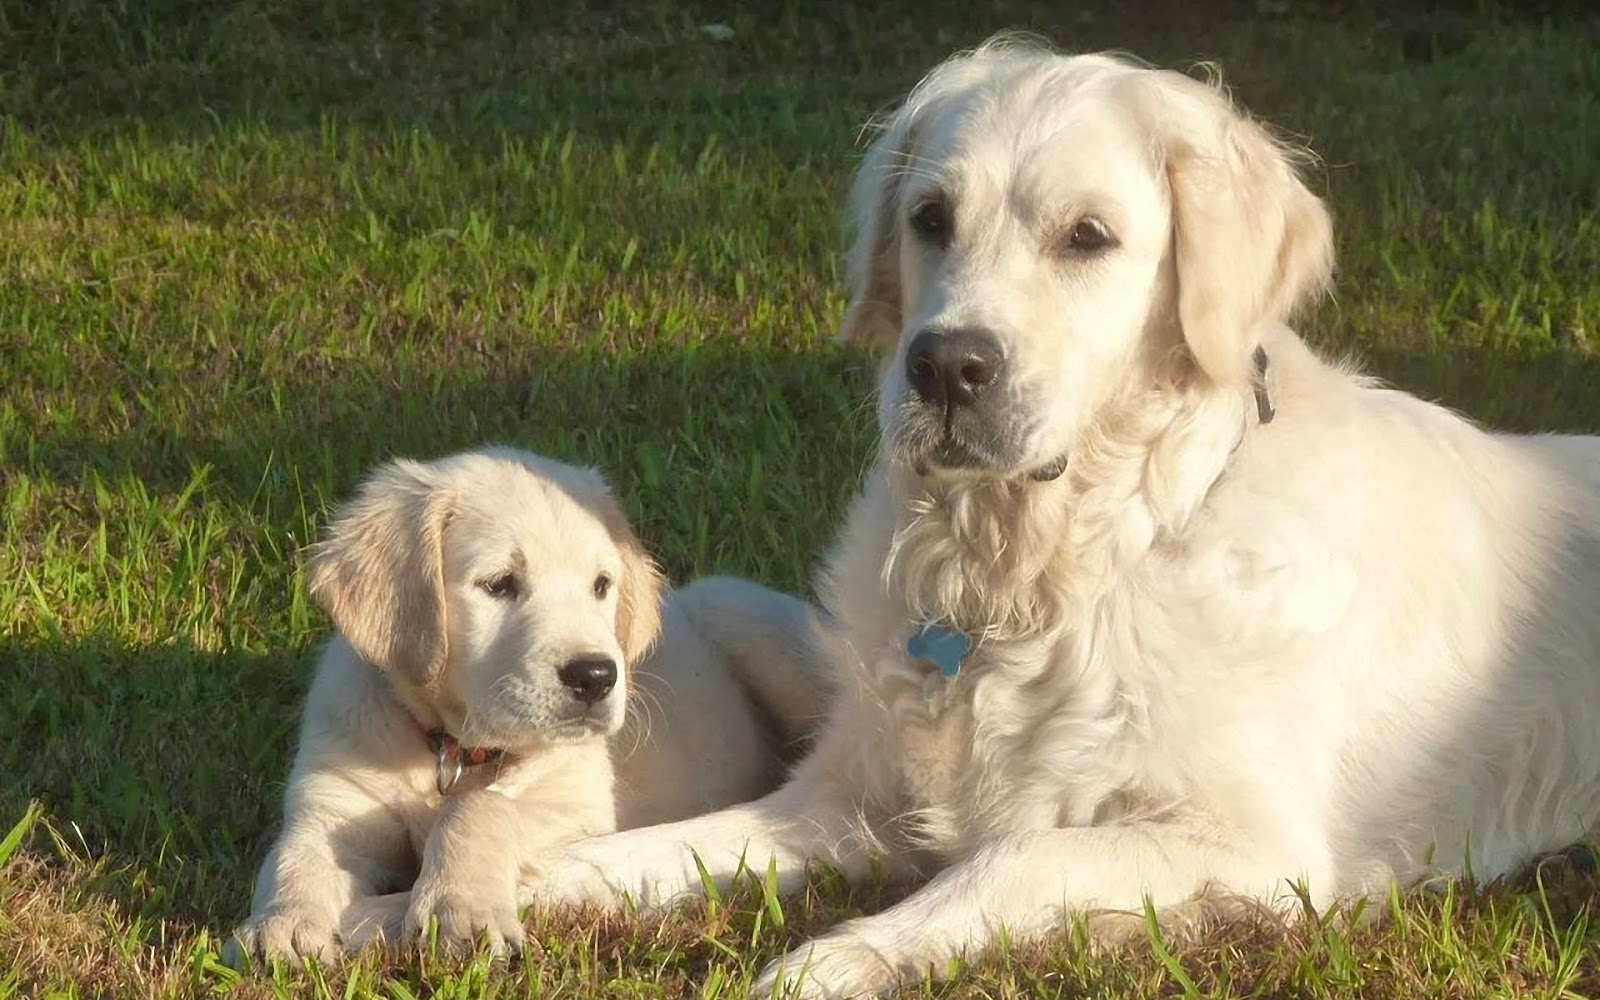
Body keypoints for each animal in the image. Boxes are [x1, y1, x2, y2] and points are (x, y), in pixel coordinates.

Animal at [228, 448, 825, 966]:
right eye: (499, 584)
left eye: (601, 585)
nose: (596, 676)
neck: (453, 749)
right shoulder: (333, 804)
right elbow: (295, 856)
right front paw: (280, 925)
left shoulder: (578, 809)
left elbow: (483, 808)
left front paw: (459, 908)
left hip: (747, 617)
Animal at [518, 35, 1600, 992]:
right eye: (930, 217)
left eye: (1087, 236)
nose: (946, 366)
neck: (1041, 573)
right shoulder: (847, 791)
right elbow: (692, 838)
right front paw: (532, 877)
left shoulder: (1256, 845)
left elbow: (1014, 856)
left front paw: (830, 961)